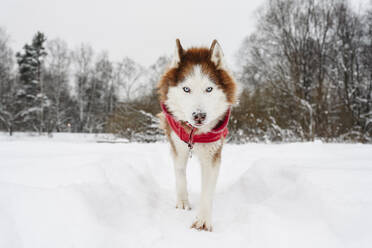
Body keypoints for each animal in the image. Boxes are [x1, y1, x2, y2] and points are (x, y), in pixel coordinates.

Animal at [158, 38, 237, 231]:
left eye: (209, 89)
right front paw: (183, 202)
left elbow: (207, 190)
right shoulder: (177, 143)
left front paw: (203, 220)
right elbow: (180, 172)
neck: (195, 132)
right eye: (186, 89)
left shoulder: (212, 153)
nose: (199, 115)